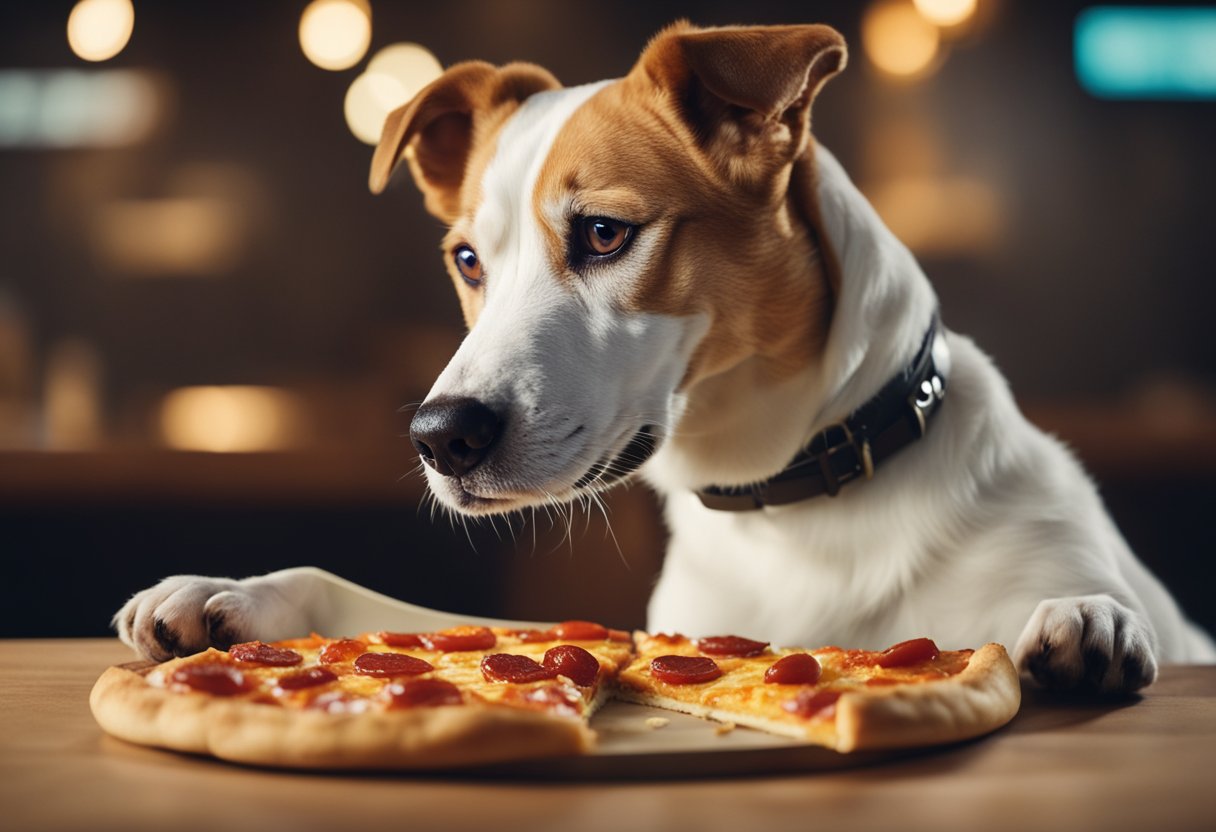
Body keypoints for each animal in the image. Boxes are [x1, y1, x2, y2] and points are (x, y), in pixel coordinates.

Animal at [116, 22, 1216, 690]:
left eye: (605, 235)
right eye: (468, 260)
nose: (440, 436)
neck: (795, 510)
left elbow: (1088, 604)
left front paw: (1091, 622)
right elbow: (387, 604)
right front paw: (228, 594)